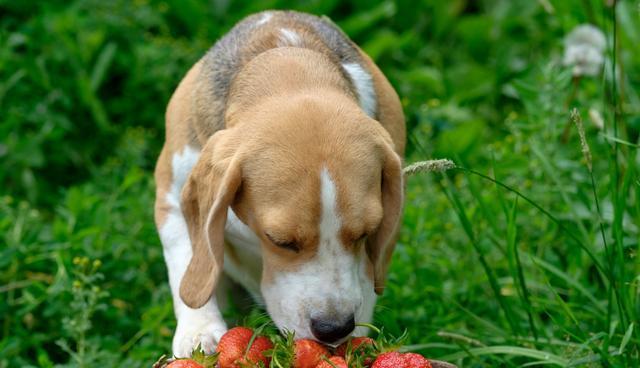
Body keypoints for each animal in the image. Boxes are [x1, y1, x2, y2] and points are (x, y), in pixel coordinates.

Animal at [154, 10, 404, 358]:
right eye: (280, 241)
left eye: (365, 233)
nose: (334, 328)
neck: (289, 65)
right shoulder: (172, 196)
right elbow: (187, 256)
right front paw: (199, 332)